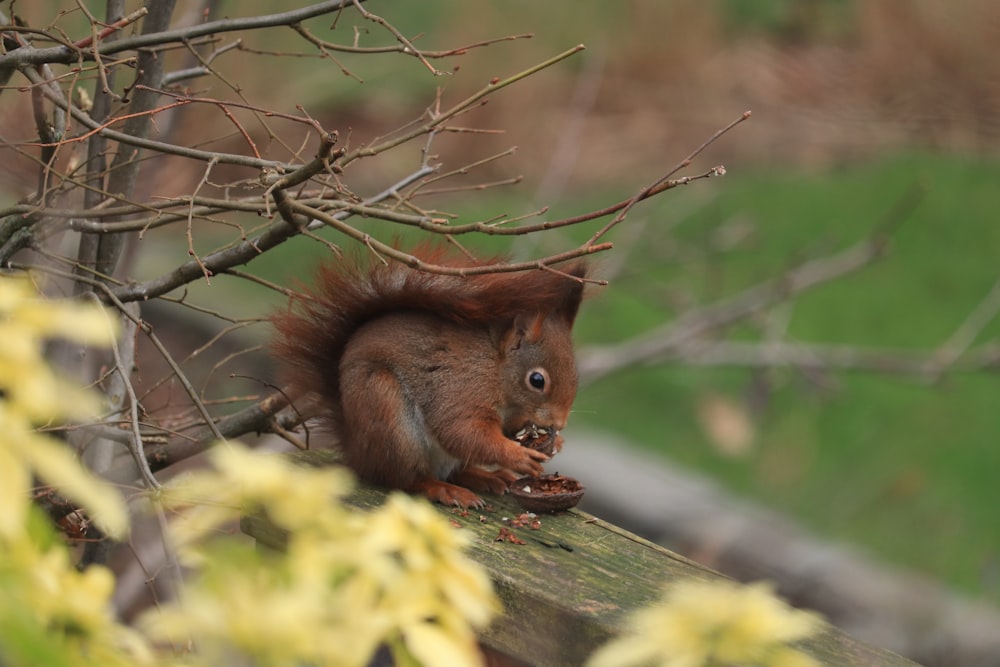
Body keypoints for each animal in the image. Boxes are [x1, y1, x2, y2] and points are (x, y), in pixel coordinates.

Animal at [270, 248, 588, 508]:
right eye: (537, 380)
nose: (559, 423)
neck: (495, 369)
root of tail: (355, 449)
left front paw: (555, 443)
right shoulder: (461, 387)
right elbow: (460, 431)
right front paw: (518, 456)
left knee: (455, 468)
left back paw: (485, 477)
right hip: (388, 415)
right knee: (405, 479)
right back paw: (443, 489)